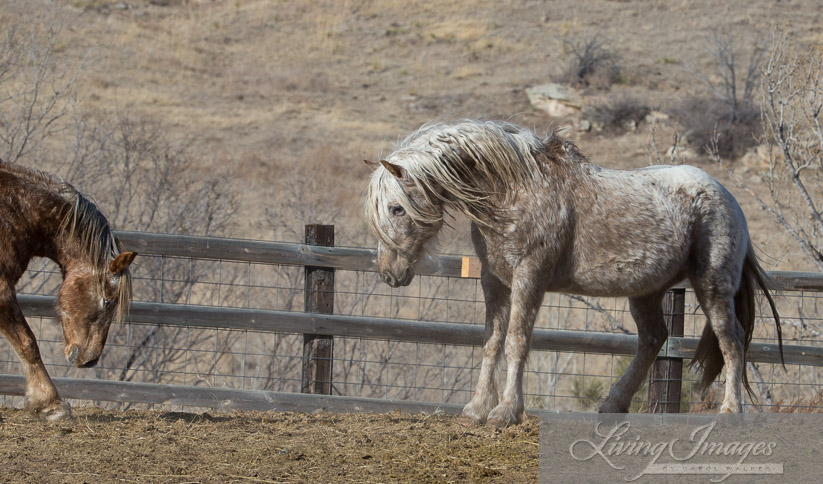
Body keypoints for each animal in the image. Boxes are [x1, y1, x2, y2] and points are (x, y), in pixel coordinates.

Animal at [0, 163, 137, 420]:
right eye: (108, 302)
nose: (90, 360)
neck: (15, 210)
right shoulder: (2, 289)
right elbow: (28, 343)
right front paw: (50, 404)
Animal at [366, 119, 784, 426]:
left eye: (396, 208)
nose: (389, 273)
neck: (512, 190)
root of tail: (728, 198)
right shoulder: (494, 281)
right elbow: (491, 342)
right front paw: (477, 409)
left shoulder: (529, 277)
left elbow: (517, 341)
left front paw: (506, 412)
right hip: (646, 291)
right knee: (653, 339)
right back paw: (613, 404)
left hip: (712, 286)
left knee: (732, 341)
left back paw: (730, 410)